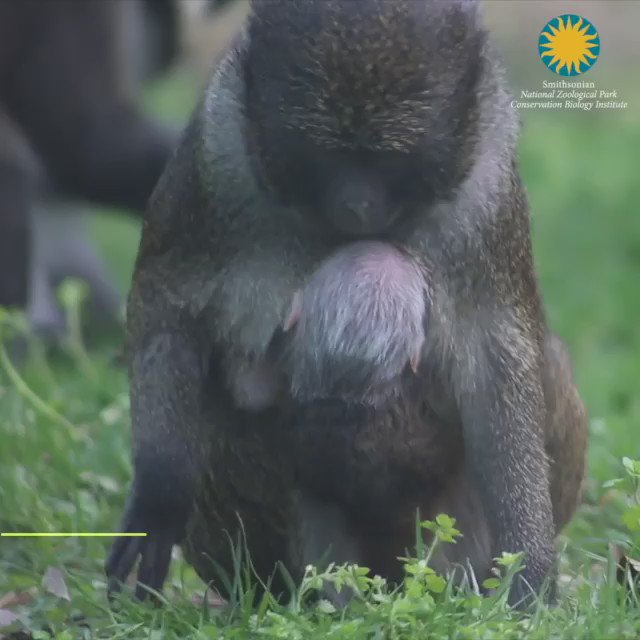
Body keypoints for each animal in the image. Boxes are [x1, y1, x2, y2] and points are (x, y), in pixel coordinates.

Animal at [106, 0, 592, 604]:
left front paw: (531, 569)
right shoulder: (216, 153)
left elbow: (496, 360)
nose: (357, 204)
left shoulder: (487, 182)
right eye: (327, 156)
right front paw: (159, 495)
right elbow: (166, 307)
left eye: (388, 161)